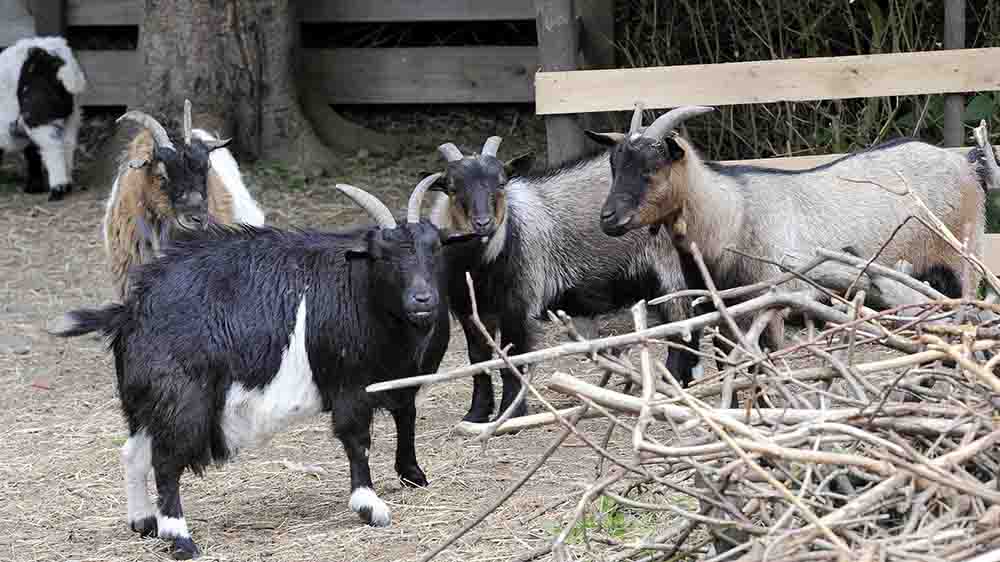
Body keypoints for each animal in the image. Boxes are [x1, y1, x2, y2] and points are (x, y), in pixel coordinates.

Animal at [0, 35, 86, 199]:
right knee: (66, 144)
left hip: (37, 113)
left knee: (52, 148)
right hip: (72, 115)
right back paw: (66, 184)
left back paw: (57, 189)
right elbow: (32, 153)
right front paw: (34, 187)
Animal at [52, 173, 474, 556]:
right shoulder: (349, 386)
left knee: (134, 451)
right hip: (181, 398)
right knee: (166, 461)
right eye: (383, 256)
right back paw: (180, 538)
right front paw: (370, 507)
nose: (422, 299)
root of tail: (129, 311)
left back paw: (144, 521)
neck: (364, 294)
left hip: (146, 402)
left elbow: (407, 417)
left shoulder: (402, 379)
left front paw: (412, 474)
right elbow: (358, 442)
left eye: (435, 249)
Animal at [432, 136, 704, 420]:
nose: (483, 223)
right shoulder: (469, 311)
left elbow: (514, 360)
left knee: (680, 328)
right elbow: (478, 361)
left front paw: (510, 413)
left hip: (670, 271)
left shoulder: (518, 303)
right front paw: (475, 414)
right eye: (452, 188)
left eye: (501, 183)